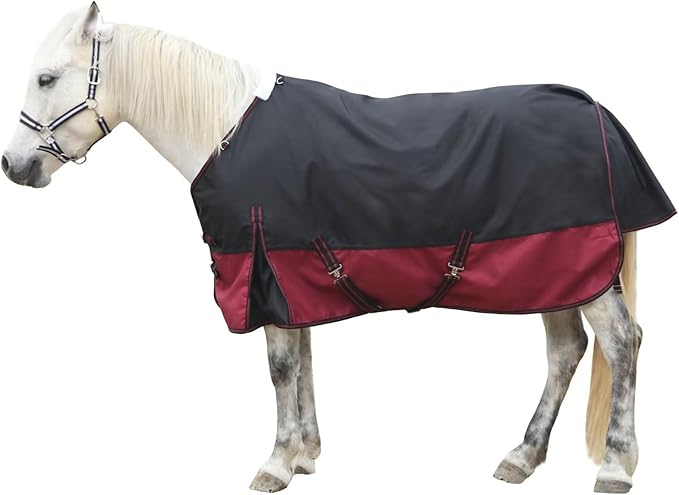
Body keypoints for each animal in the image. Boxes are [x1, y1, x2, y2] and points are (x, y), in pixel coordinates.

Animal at [2, 4, 675, 493]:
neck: (225, 133)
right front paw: (305, 454)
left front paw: (275, 464)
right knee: (566, 352)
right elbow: (301, 362)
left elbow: (280, 367)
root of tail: (596, 113)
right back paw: (523, 456)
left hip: (581, 272)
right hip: (556, 273)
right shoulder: (287, 274)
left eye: (46, 79)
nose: (14, 166)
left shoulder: (264, 271)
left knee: (622, 344)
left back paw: (615, 467)